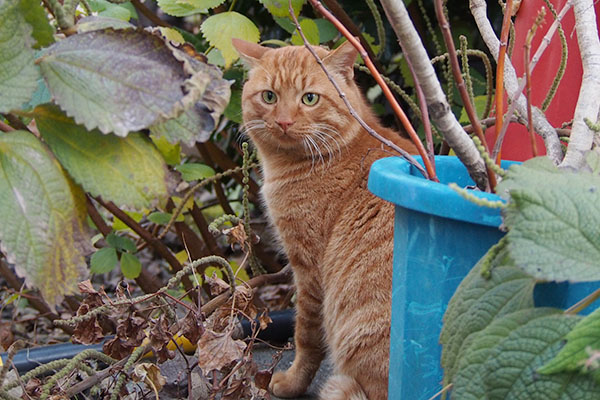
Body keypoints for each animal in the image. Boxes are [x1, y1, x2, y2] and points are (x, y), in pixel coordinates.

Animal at [232, 38, 414, 400]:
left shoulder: (309, 270)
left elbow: (306, 336)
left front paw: (291, 383)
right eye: (269, 96)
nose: (284, 122)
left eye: (309, 98)